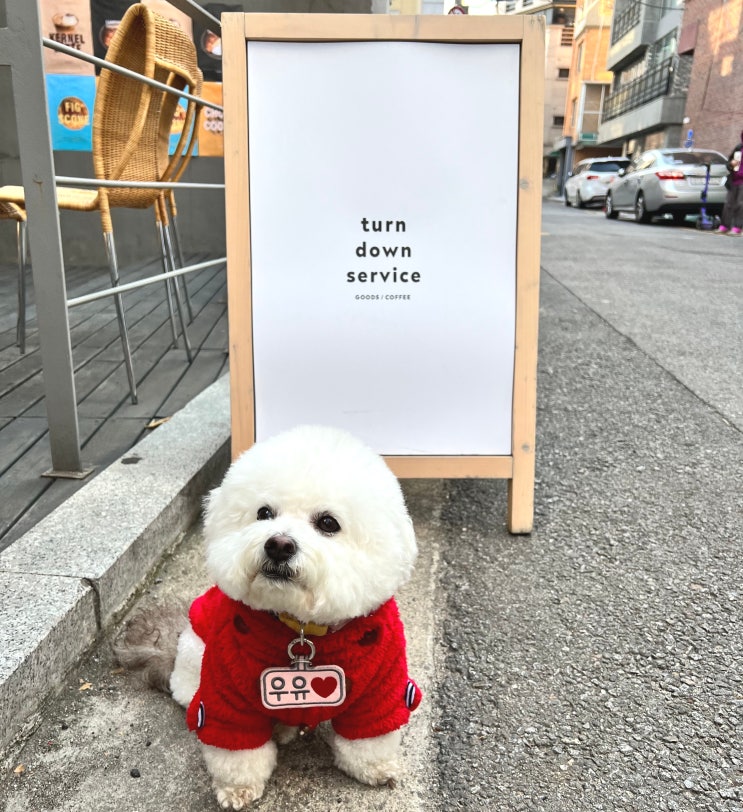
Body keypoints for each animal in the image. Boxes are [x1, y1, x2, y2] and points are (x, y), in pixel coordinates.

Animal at [115, 426, 418, 804]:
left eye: (328, 523)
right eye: (264, 513)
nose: (278, 545)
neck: (302, 630)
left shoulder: (381, 687)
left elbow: (370, 738)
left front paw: (375, 768)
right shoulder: (227, 693)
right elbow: (238, 751)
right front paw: (237, 788)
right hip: (196, 653)